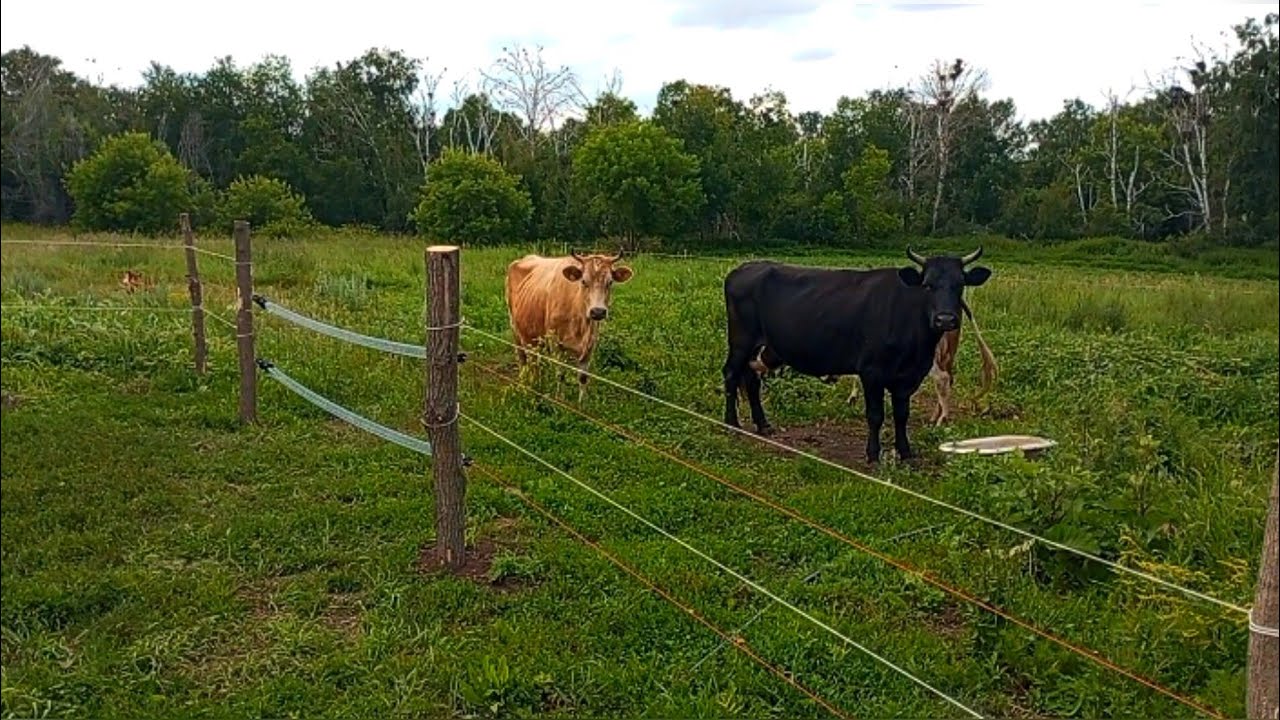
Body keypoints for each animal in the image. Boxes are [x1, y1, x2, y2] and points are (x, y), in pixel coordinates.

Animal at [505, 250, 635, 401]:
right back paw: (524, 383)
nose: (598, 311)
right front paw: (558, 399)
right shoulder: (555, 343)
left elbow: (583, 377)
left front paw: (581, 403)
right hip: (515, 328)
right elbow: (560, 375)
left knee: (536, 361)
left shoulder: (590, 345)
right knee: (522, 359)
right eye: (583, 281)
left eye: (610, 282)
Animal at [722, 246, 992, 463]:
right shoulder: (871, 372)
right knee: (731, 374)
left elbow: (901, 415)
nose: (945, 319)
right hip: (741, 341)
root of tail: (744, 268)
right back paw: (731, 424)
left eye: (960, 284)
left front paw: (905, 452)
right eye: (928, 284)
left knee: (751, 379)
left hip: (757, 348)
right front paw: (873, 454)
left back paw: (762, 425)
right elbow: (875, 415)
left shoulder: (908, 376)